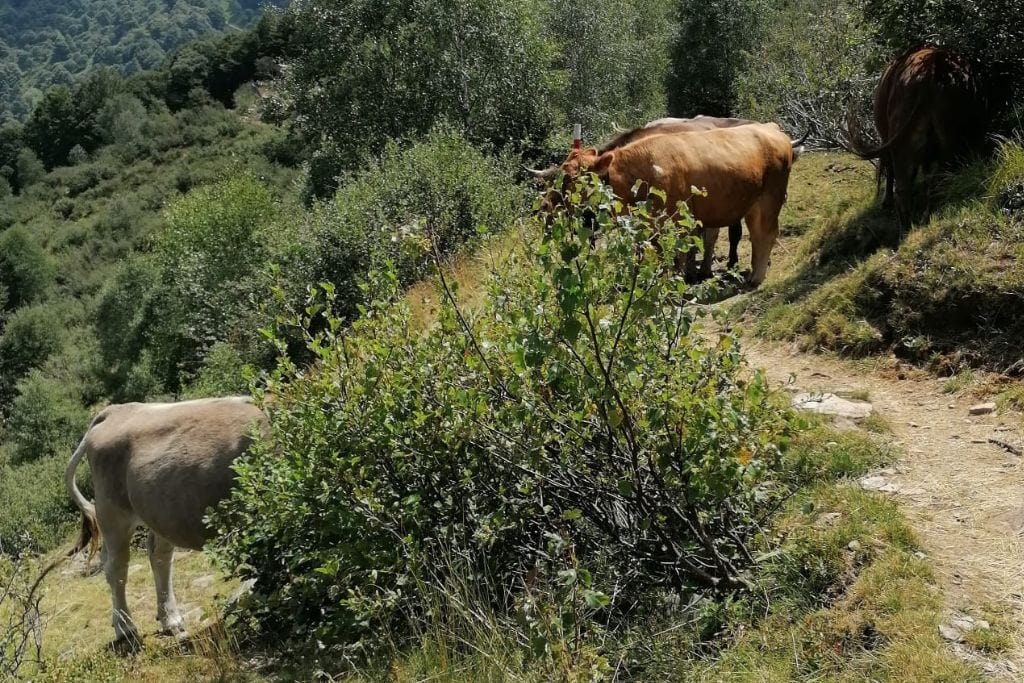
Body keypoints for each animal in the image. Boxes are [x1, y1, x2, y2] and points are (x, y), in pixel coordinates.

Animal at [59, 396, 267, 646]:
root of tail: (115, 410)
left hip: (161, 511)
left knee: (158, 557)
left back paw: (170, 619)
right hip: (113, 513)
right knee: (117, 568)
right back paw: (126, 629)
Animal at [531, 123, 801, 286]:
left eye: (570, 179)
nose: (543, 207)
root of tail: (771, 128)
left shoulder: (677, 223)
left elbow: (676, 257)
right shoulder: (647, 228)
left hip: (770, 200)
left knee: (766, 234)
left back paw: (756, 277)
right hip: (751, 204)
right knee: (756, 236)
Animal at [847, 46, 989, 229]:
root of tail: (935, 65)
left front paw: (886, 201)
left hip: (901, 137)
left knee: (903, 183)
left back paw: (906, 223)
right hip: (948, 134)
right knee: (939, 177)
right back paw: (925, 215)